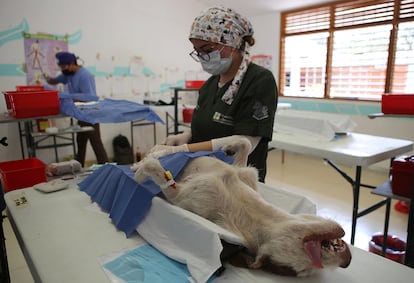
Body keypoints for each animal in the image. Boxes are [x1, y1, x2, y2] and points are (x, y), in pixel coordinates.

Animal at [134, 139, 350, 278]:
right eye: (313, 251)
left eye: (306, 266)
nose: (347, 260)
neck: (245, 206)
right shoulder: (245, 173)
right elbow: (245, 143)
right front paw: (228, 147)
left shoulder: (180, 196)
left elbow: (159, 172)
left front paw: (141, 170)